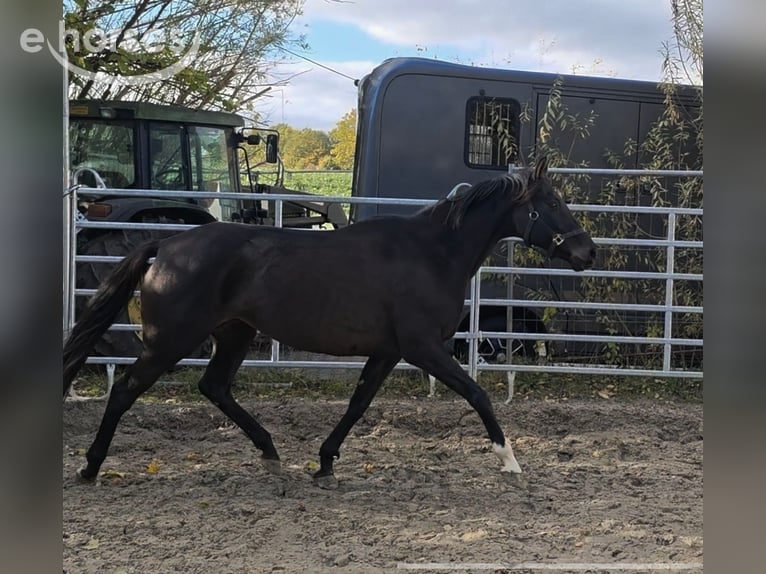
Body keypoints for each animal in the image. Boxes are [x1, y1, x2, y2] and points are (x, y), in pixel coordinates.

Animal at [63, 156, 597, 489]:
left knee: (214, 387)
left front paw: (324, 463)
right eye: (551, 203)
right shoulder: (424, 347)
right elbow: (477, 393)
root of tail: (166, 245)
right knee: (125, 390)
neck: (432, 253)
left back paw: (271, 454)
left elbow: (358, 405)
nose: (587, 252)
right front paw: (509, 459)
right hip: (170, 340)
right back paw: (90, 468)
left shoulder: (388, 351)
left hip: (234, 333)